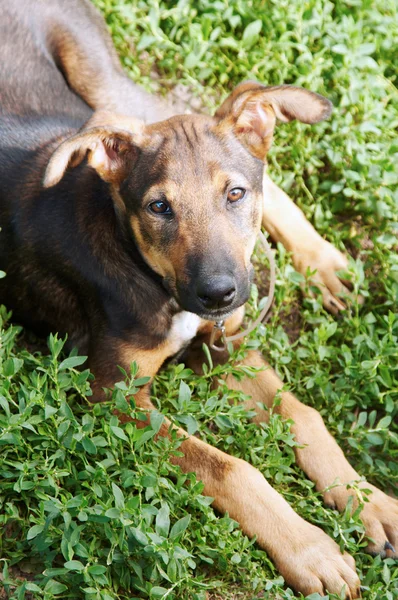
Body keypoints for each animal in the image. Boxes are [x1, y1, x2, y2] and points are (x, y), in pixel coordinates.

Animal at [0, 2, 398, 596]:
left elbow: (304, 416)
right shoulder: (113, 395)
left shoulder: (223, 345)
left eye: (234, 193)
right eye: (158, 207)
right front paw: (311, 550)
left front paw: (368, 501)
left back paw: (324, 264)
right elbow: (233, 468)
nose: (219, 294)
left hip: (108, 84)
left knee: (273, 184)